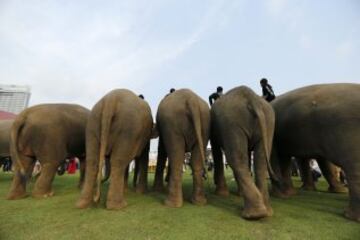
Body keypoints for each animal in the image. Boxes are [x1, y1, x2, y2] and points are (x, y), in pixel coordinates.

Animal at [210, 86, 278, 219]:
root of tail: (252, 99)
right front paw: (239, 194)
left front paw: (222, 194)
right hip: (267, 122)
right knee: (260, 161)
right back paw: (266, 212)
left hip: (232, 124)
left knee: (236, 159)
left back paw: (254, 215)